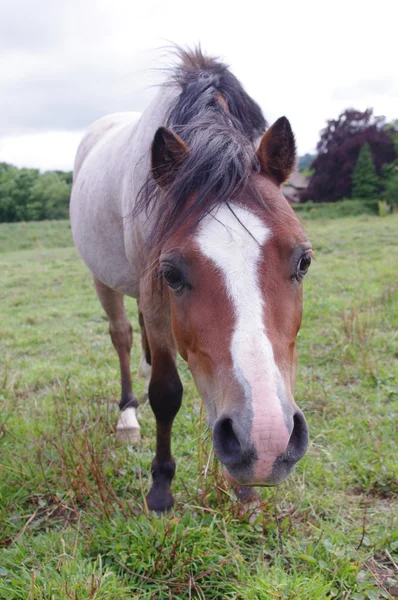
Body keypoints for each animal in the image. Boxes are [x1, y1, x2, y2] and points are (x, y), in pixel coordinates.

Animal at [70, 49, 312, 512]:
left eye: (304, 261)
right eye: (173, 274)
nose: (268, 443)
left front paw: (243, 490)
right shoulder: (154, 292)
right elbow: (166, 392)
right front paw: (161, 487)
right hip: (102, 279)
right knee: (122, 335)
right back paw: (128, 416)